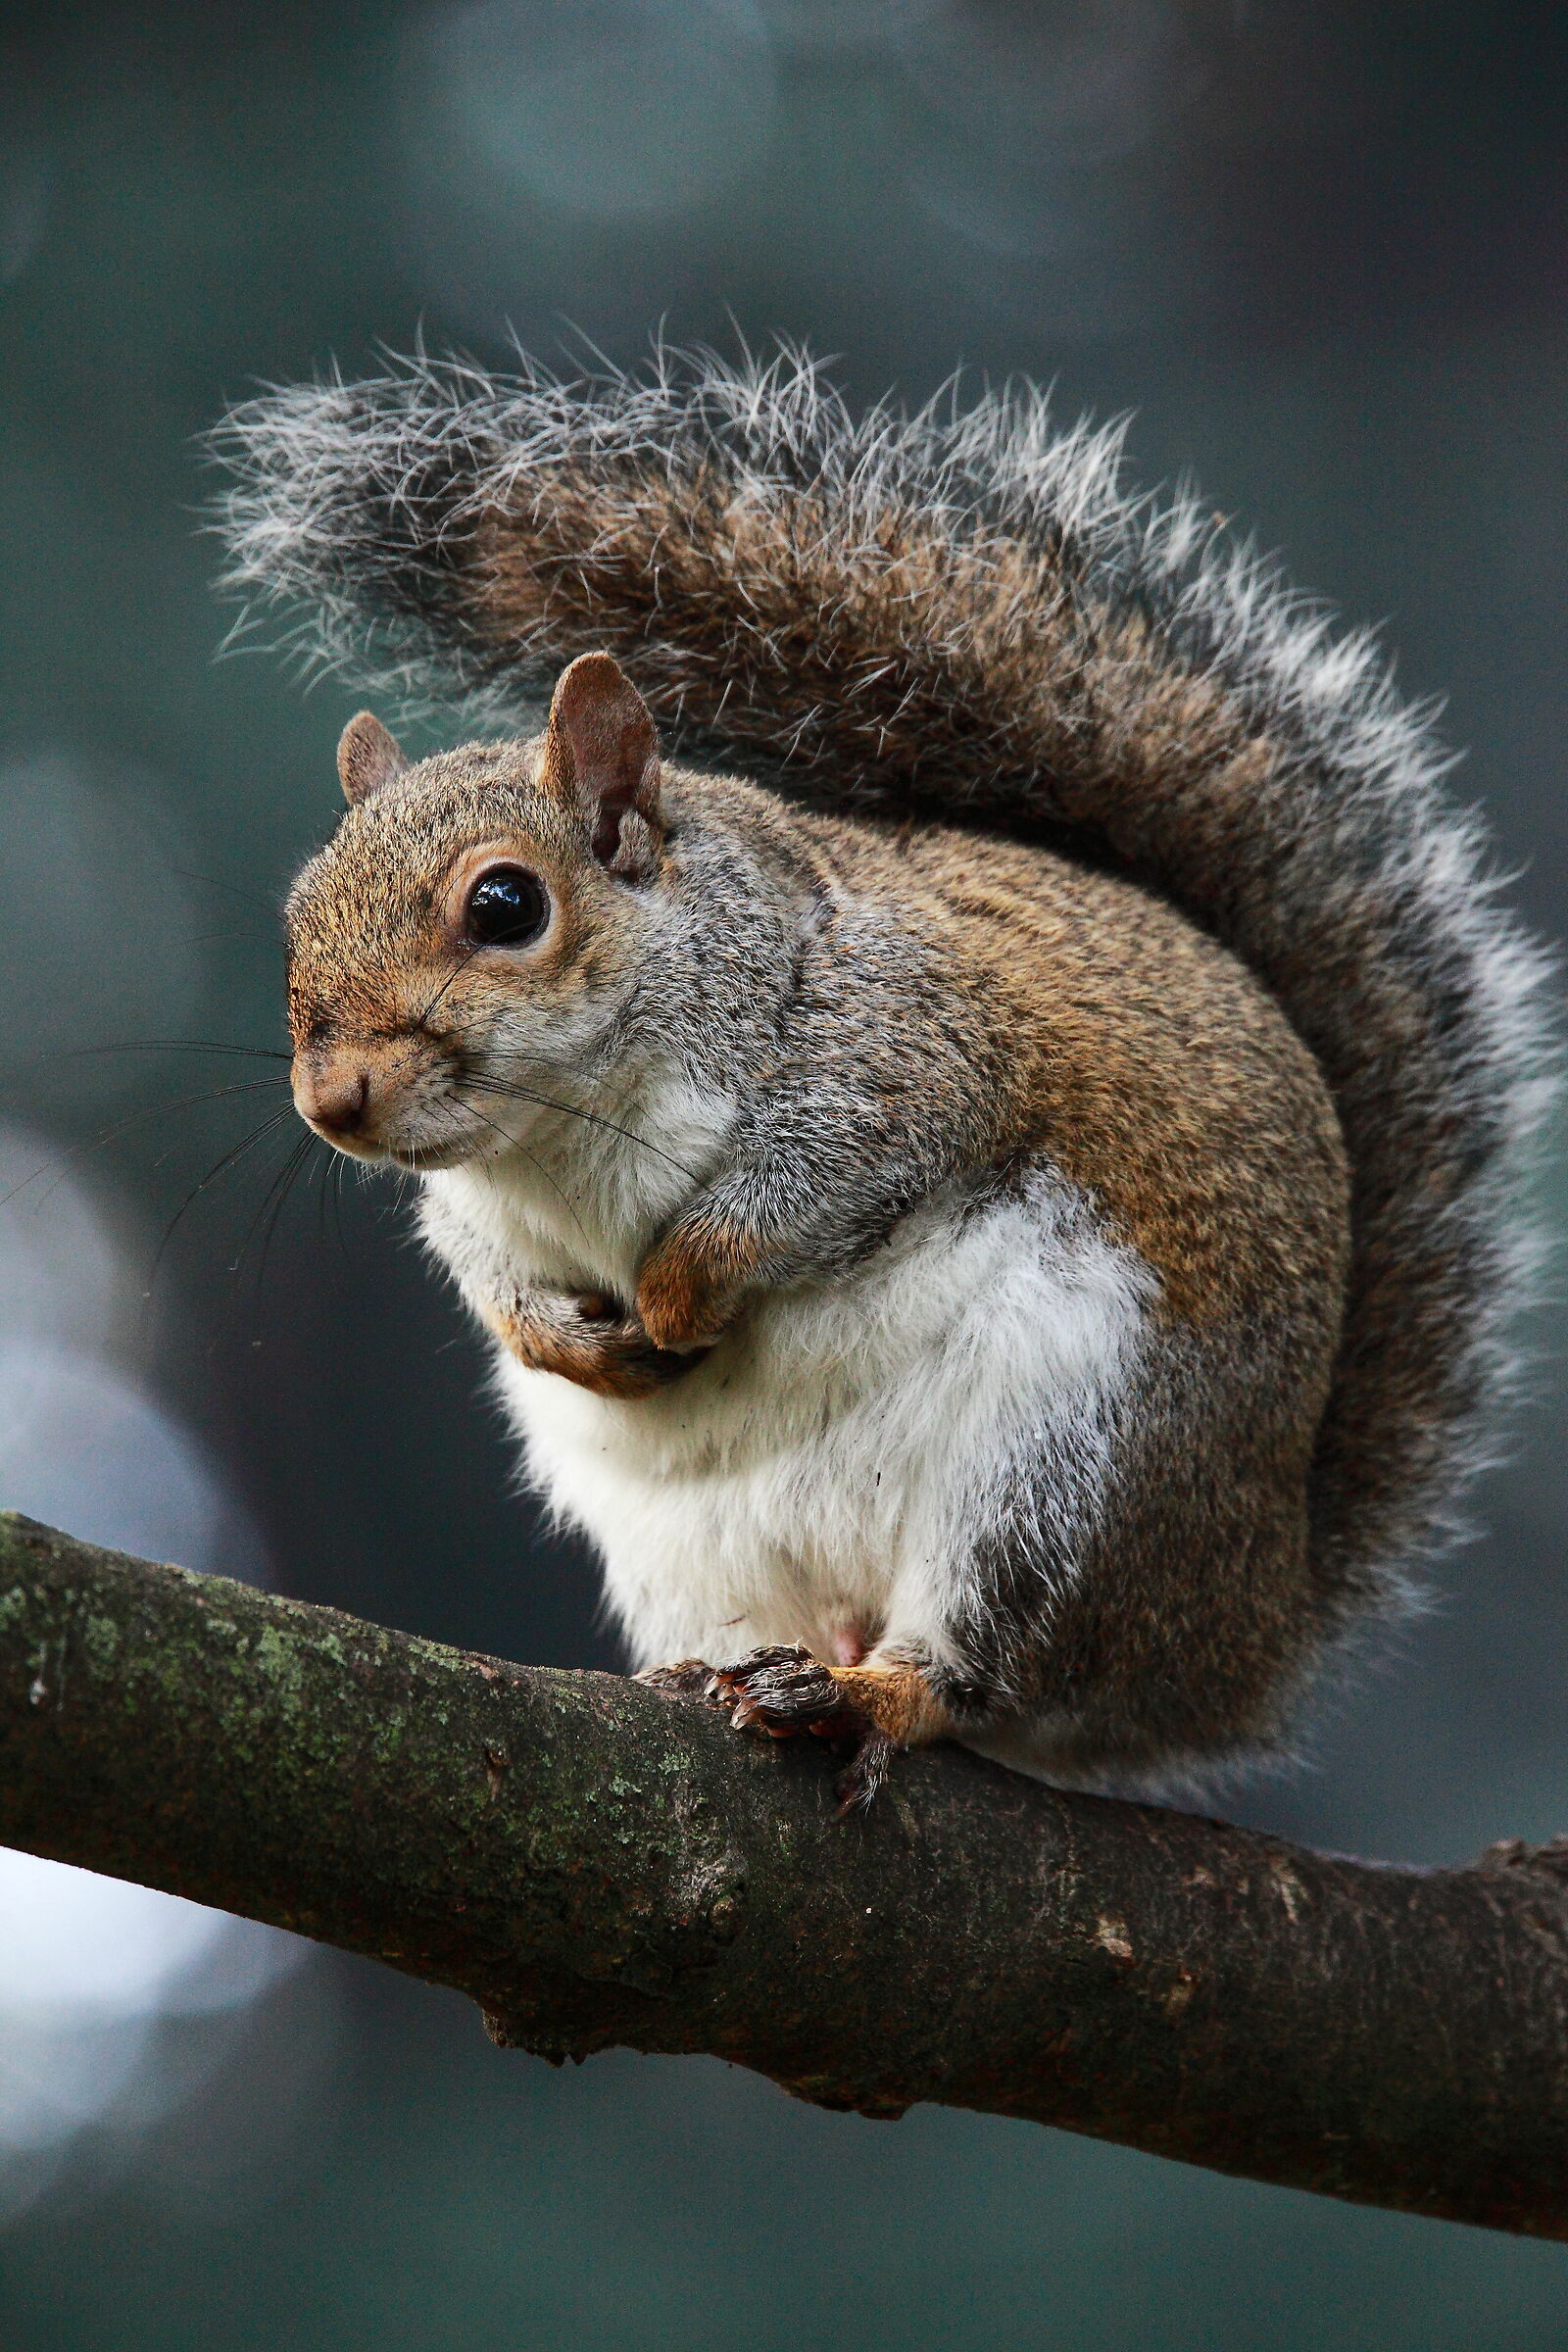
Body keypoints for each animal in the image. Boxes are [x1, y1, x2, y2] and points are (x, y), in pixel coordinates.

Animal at [217, 348, 1553, 1810]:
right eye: (296, 913)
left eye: (506, 905)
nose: (332, 1104)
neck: (554, 1147)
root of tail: (1237, 1637)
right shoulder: (475, 1204)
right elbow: (486, 1275)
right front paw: (568, 1341)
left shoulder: (898, 1060)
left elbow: (803, 1193)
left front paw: (674, 1302)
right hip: (700, 1550)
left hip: (1061, 1470)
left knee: (976, 1668)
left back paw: (867, 1693)